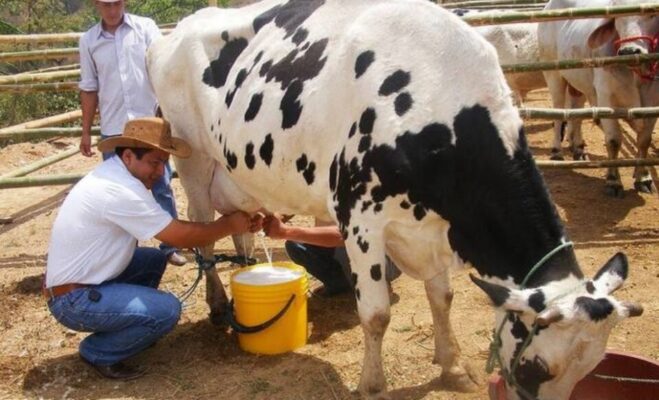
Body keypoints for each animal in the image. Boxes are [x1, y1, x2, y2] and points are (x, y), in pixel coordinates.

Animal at [147, 1, 640, 398]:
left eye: (589, 368)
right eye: (541, 367)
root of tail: (185, 24)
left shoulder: (435, 225)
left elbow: (442, 297)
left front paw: (452, 367)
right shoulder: (360, 218)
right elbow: (377, 314)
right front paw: (373, 384)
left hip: (238, 172)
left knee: (240, 227)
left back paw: (245, 278)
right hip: (193, 160)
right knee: (203, 230)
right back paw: (217, 304)